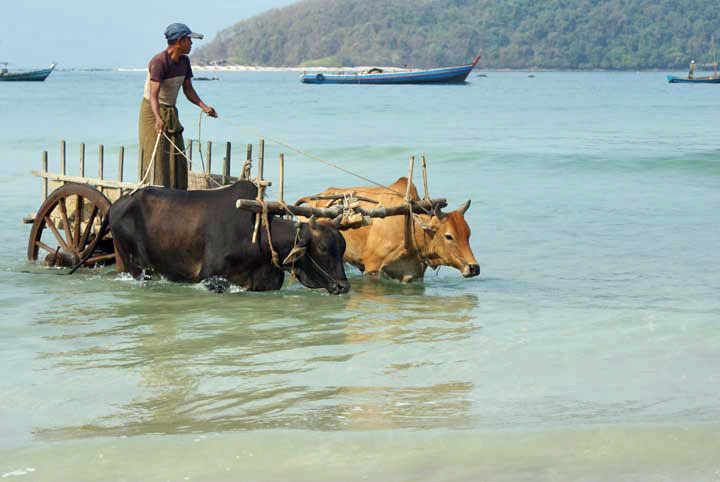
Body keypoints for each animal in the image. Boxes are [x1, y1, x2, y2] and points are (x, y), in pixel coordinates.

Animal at [76, 181, 350, 294]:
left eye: (343, 247)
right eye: (323, 248)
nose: (343, 287)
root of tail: (115, 205)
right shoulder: (212, 279)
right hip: (133, 266)